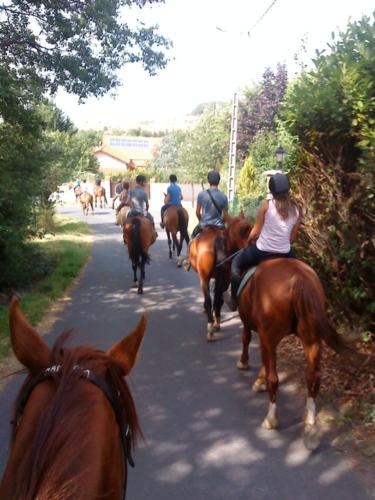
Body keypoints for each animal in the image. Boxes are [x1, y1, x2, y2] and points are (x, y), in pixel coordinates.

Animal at [225, 217, 348, 440]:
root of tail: (299, 278)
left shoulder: (254, 327)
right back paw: (310, 421)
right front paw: (259, 379)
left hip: (273, 336)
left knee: (275, 379)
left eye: (228, 233)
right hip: (311, 339)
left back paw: (271, 419)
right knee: (313, 377)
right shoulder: (266, 337)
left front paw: (245, 365)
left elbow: (247, 340)